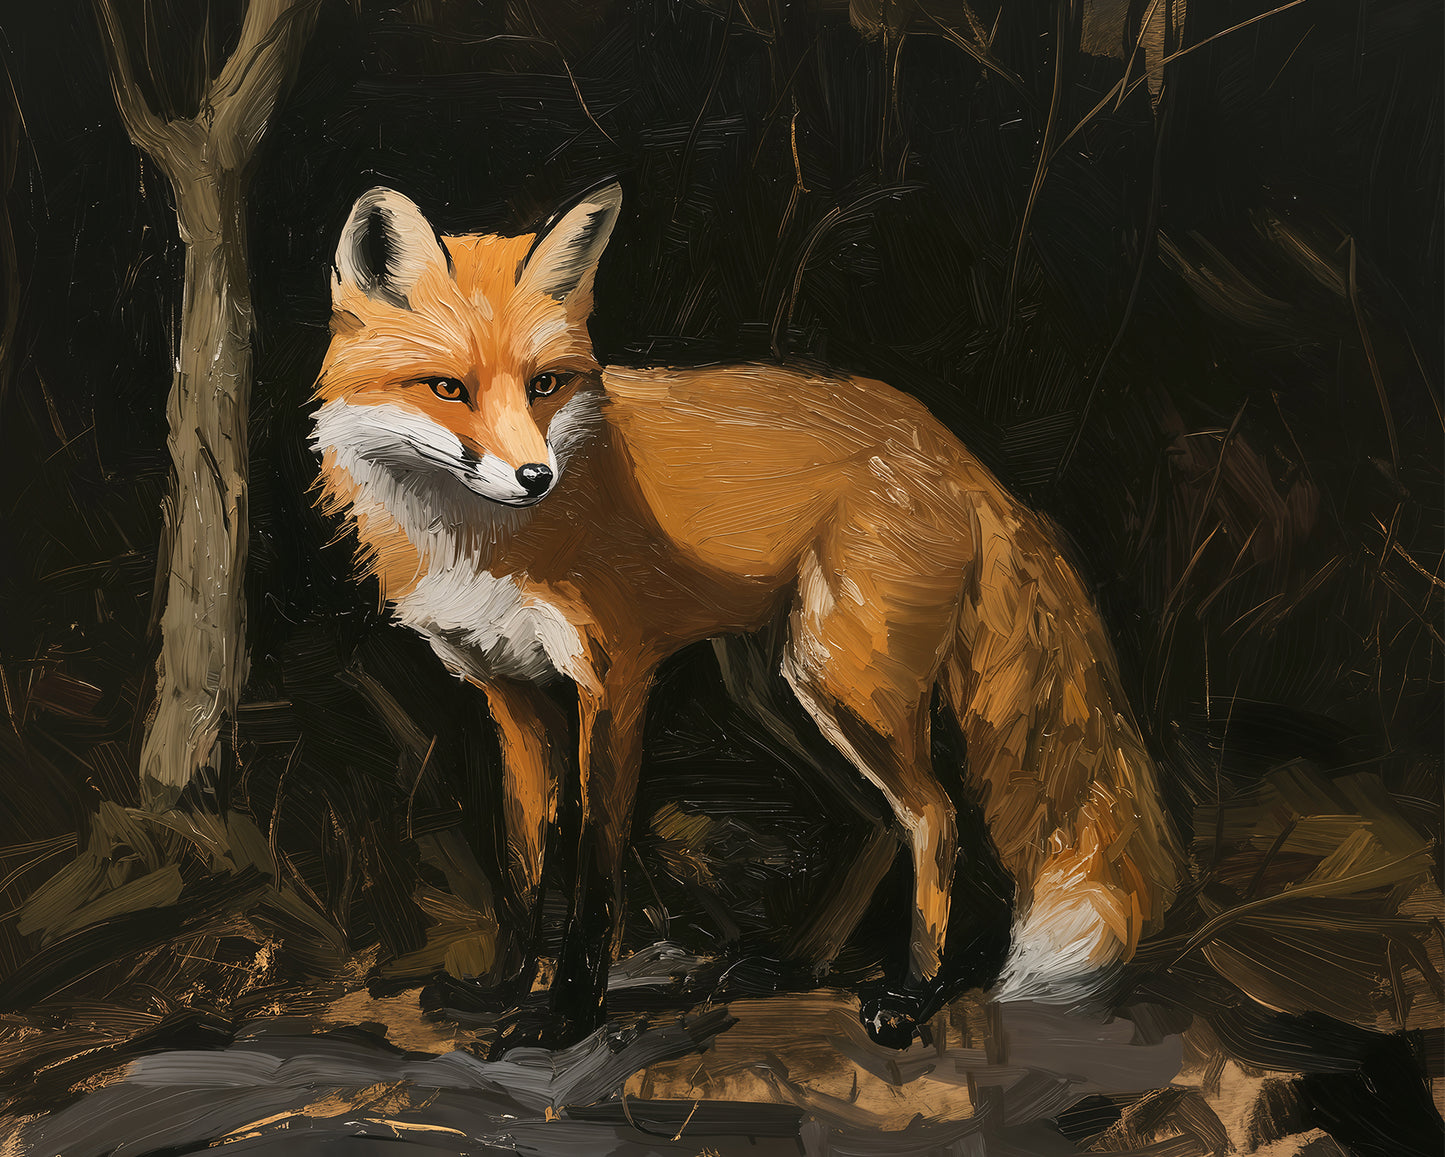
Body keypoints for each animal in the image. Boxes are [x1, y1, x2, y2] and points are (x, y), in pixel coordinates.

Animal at [310, 182, 1182, 1050]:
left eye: (545, 384)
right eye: (447, 388)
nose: (535, 476)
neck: (478, 541)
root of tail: (950, 445)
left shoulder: (614, 680)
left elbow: (595, 870)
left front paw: (568, 1015)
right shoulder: (508, 694)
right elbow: (522, 864)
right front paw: (501, 987)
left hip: (842, 682)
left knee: (934, 815)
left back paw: (909, 993)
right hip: (775, 693)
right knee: (874, 821)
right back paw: (797, 964)